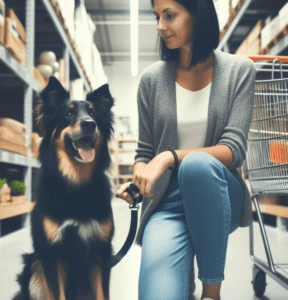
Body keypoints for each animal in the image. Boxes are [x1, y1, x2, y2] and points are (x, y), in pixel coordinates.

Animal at [12, 77, 116, 300]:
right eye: (68, 114)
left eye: (93, 114)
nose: (89, 124)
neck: (76, 184)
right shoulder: (52, 253)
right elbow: (56, 292)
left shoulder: (101, 251)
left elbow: (102, 293)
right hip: (33, 265)